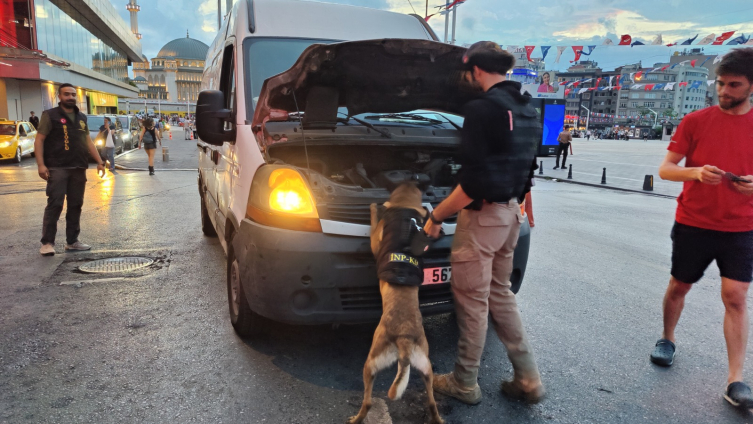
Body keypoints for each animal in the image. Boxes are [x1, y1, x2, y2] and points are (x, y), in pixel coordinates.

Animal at [348, 185, 446, 424]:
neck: (406, 210)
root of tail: (404, 339)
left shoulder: (375, 240)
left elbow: (374, 221)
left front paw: (374, 206)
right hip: (426, 367)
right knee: (431, 402)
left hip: (371, 363)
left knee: (368, 401)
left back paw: (356, 418)